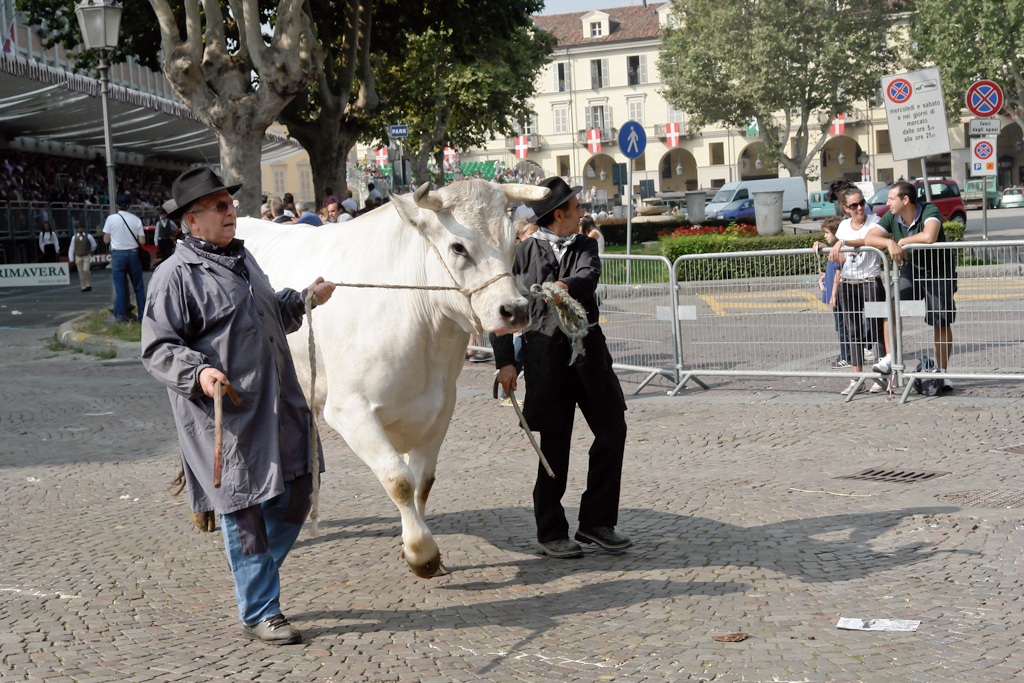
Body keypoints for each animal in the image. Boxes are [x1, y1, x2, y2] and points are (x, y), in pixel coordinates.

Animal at [235, 179, 549, 577]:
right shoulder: (350, 411)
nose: (516, 310)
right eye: (458, 247)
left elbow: (422, 483)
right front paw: (421, 553)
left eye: (512, 242)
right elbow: (399, 480)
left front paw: (415, 543)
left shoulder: (440, 408)